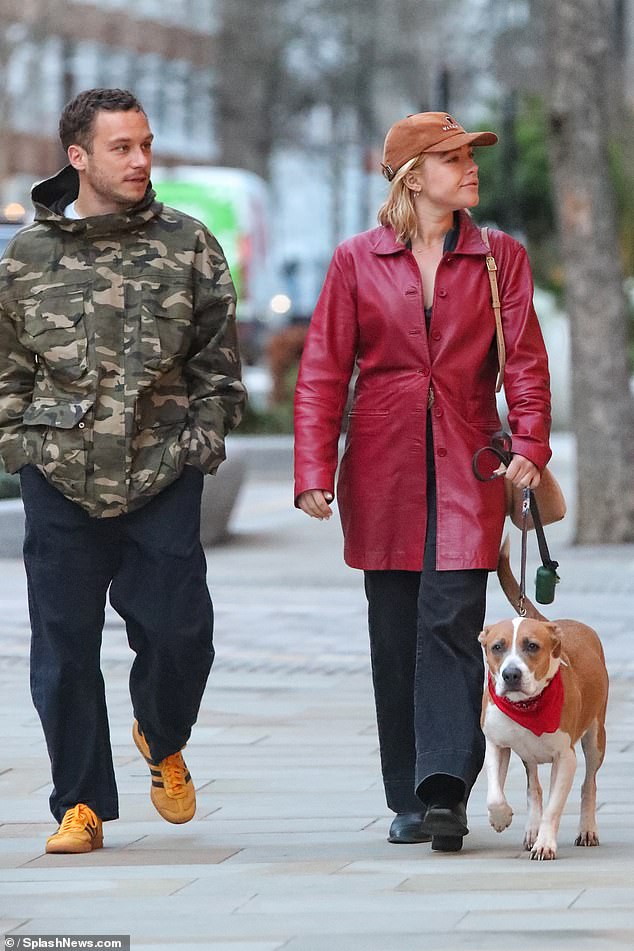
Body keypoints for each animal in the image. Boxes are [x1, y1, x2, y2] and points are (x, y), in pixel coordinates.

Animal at [478, 540, 608, 860]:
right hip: (528, 755)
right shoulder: (496, 743)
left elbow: (554, 806)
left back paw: (587, 829)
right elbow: (495, 792)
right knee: (533, 788)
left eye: (532, 646)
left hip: (596, 737)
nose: (511, 674)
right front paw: (501, 817)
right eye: (497, 647)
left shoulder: (565, 758)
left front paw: (546, 843)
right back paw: (531, 829)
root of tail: (555, 624)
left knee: (589, 783)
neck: (525, 705)